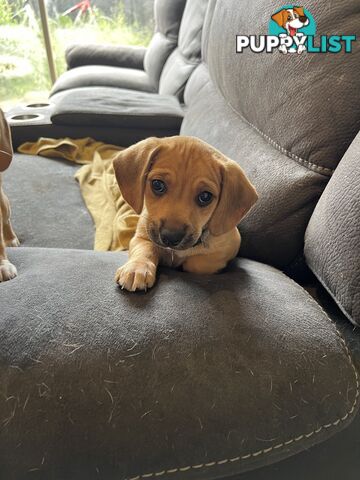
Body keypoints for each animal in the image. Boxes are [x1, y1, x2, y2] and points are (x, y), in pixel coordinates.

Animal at [114, 136, 258, 292]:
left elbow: (197, 263)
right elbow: (145, 249)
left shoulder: (230, 245)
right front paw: (136, 269)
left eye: (205, 197)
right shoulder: (142, 236)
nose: (170, 238)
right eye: (157, 185)